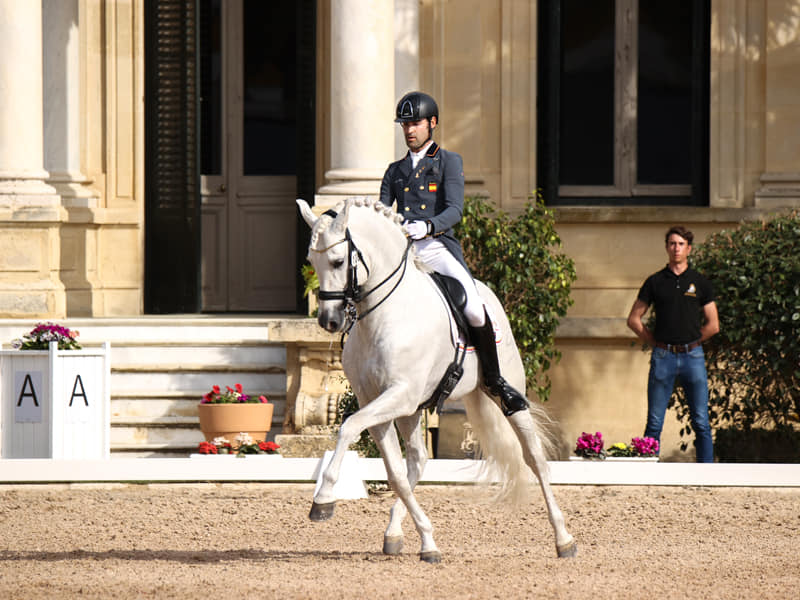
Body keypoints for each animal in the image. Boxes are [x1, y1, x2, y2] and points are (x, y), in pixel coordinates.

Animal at [296, 197, 576, 564]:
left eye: (338, 260)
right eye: (311, 262)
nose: (328, 321)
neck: (385, 313)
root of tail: (487, 292)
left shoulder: (398, 394)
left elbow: (347, 428)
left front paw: (324, 499)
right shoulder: (378, 401)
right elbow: (395, 474)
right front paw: (427, 541)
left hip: (506, 395)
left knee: (535, 460)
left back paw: (564, 539)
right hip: (412, 410)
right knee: (418, 460)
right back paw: (396, 534)